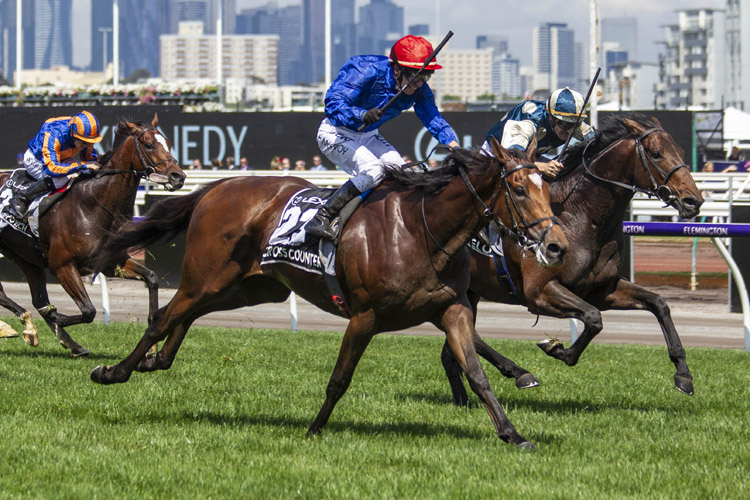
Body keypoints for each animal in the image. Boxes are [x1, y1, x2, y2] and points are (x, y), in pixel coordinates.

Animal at [0, 114, 187, 356]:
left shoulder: (111, 261)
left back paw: (53, 337)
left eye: (169, 144)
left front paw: (151, 346)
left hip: (25, 258)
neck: (93, 204)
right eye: (149, 145)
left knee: (35, 298)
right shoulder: (62, 266)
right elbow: (87, 311)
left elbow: (153, 278)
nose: (178, 176)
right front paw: (57, 316)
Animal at [91, 138, 568, 450]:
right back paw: (114, 371)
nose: (557, 245)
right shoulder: (364, 316)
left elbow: (476, 372)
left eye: (549, 189)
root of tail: (220, 186)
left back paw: (156, 361)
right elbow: (339, 380)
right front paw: (314, 430)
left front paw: (513, 433)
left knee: (185, 315)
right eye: (519, 190)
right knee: (164, 317)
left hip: (249, 286)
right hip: (206, 275)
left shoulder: (452, 309)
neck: (422, 229)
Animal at [440, 111, 704, 404]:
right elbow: (593, 318)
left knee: (455, 345)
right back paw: (518, 373)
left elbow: (658, 304)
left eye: (681, 151)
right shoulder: (538, 292)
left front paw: (683, 374)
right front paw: (558, 349)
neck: (582, 216)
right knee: (465, 335)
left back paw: (469, 395)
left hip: (468, 290)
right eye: (656, 153)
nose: (693, 201)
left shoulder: (601, 289)